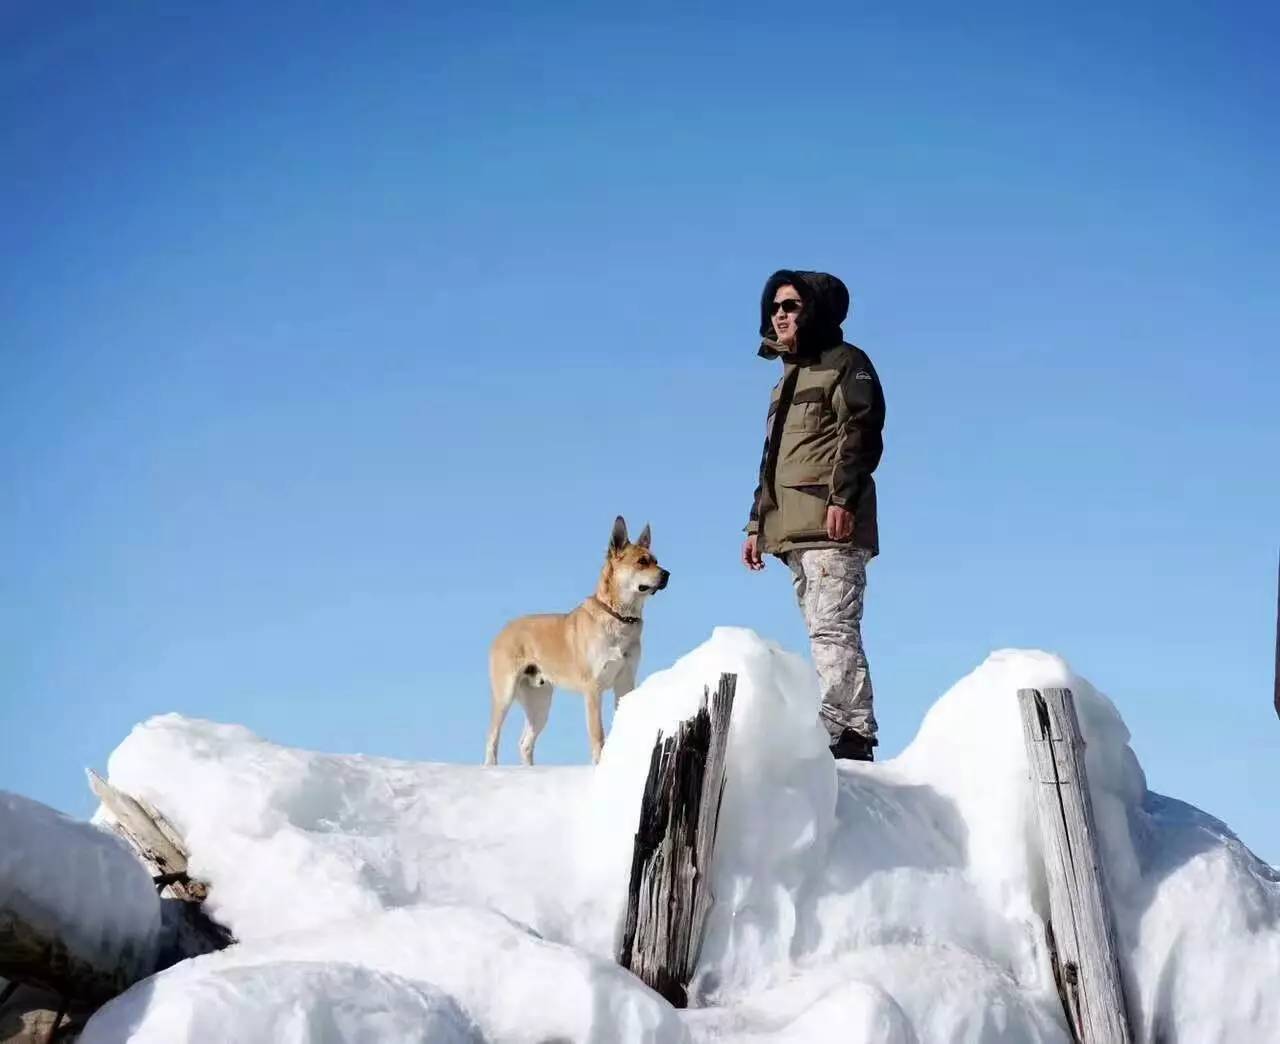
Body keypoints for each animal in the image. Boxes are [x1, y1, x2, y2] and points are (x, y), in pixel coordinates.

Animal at [483, 516, 670, 767]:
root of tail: (504, 628)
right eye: (642, 561)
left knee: (525, 743)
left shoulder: (625, 683)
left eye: (656, 561)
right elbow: (598, 735)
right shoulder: (593, 689)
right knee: (492, 736)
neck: (619, 617)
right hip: (505, 694)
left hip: (540, 702)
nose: (667, 574)